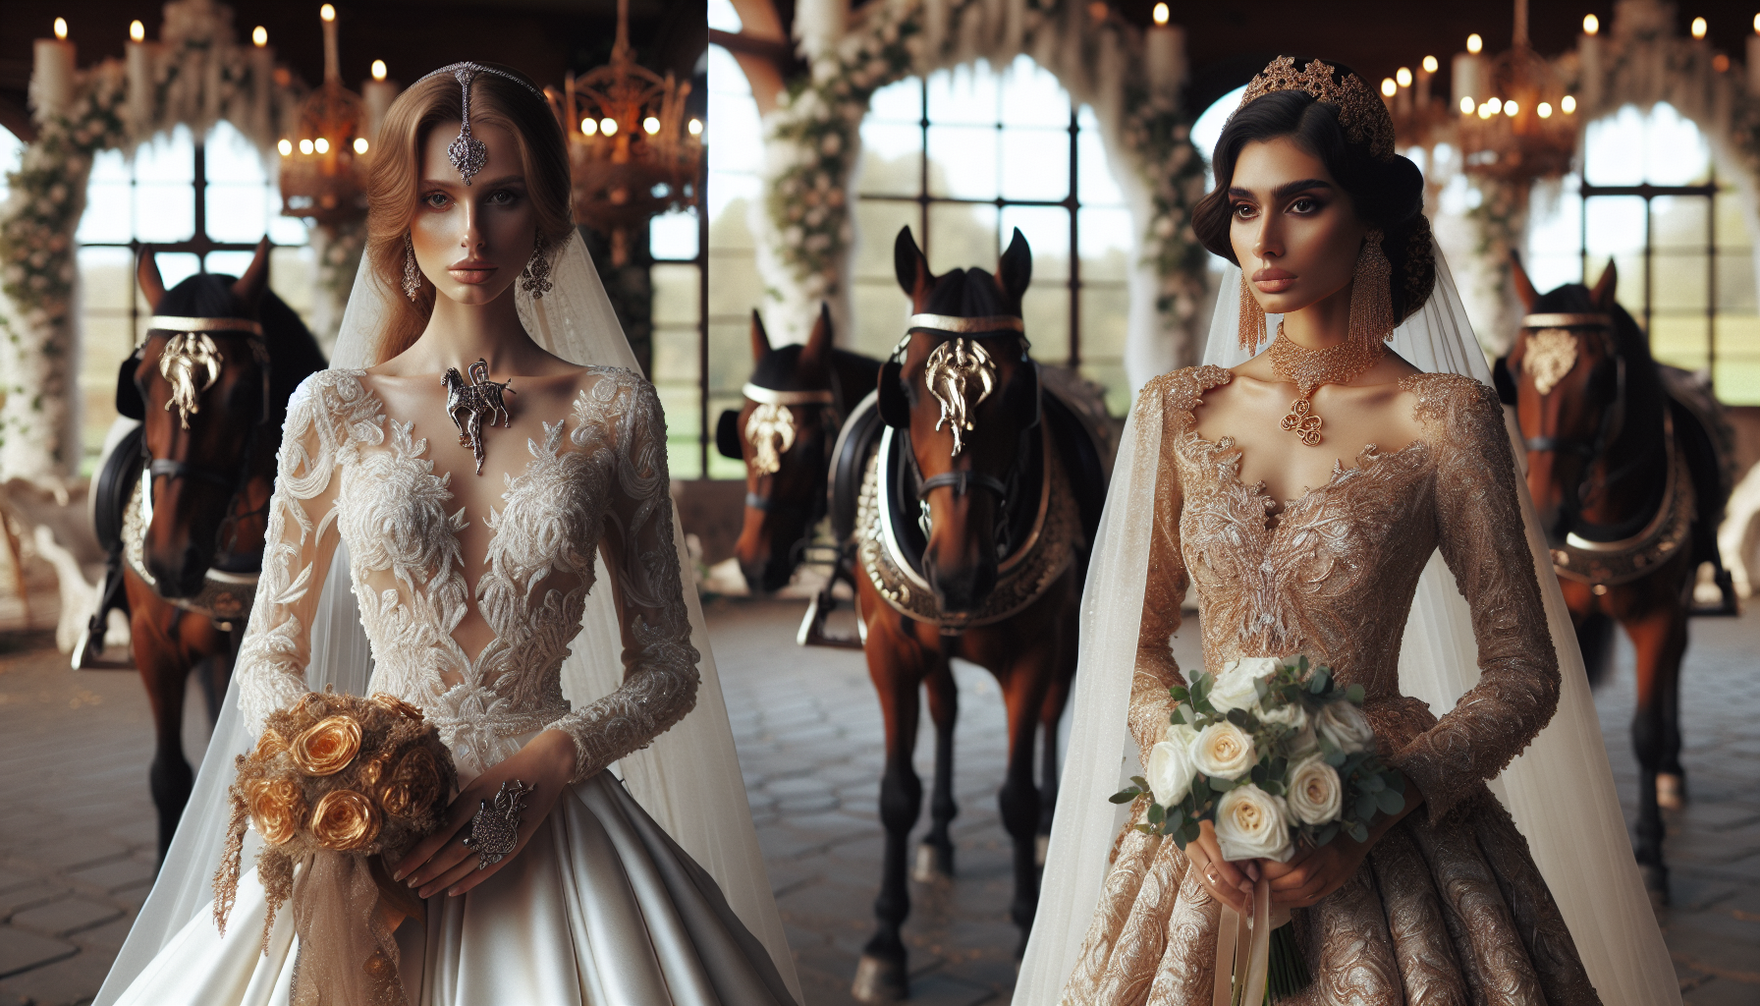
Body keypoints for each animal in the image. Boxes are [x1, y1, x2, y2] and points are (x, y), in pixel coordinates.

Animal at [841, 228, 1112, 998]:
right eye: (901, 388)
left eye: (1020, 394)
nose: (959, 574)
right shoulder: (890, 652)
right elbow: (895, 794)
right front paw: (884, 945)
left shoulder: (1037, 652)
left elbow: (1016, 797)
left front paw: (1025, 929)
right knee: (946, 713)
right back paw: (937, 840)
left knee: (1051, 718)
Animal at [1499, 255, 1731, 900]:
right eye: (1514, 371)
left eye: (1603, 378)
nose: (1547, 512)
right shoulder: (1571, 615)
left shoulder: (1659, 614)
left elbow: (1645, 729)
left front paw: (1649, 854)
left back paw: (1673, 772)